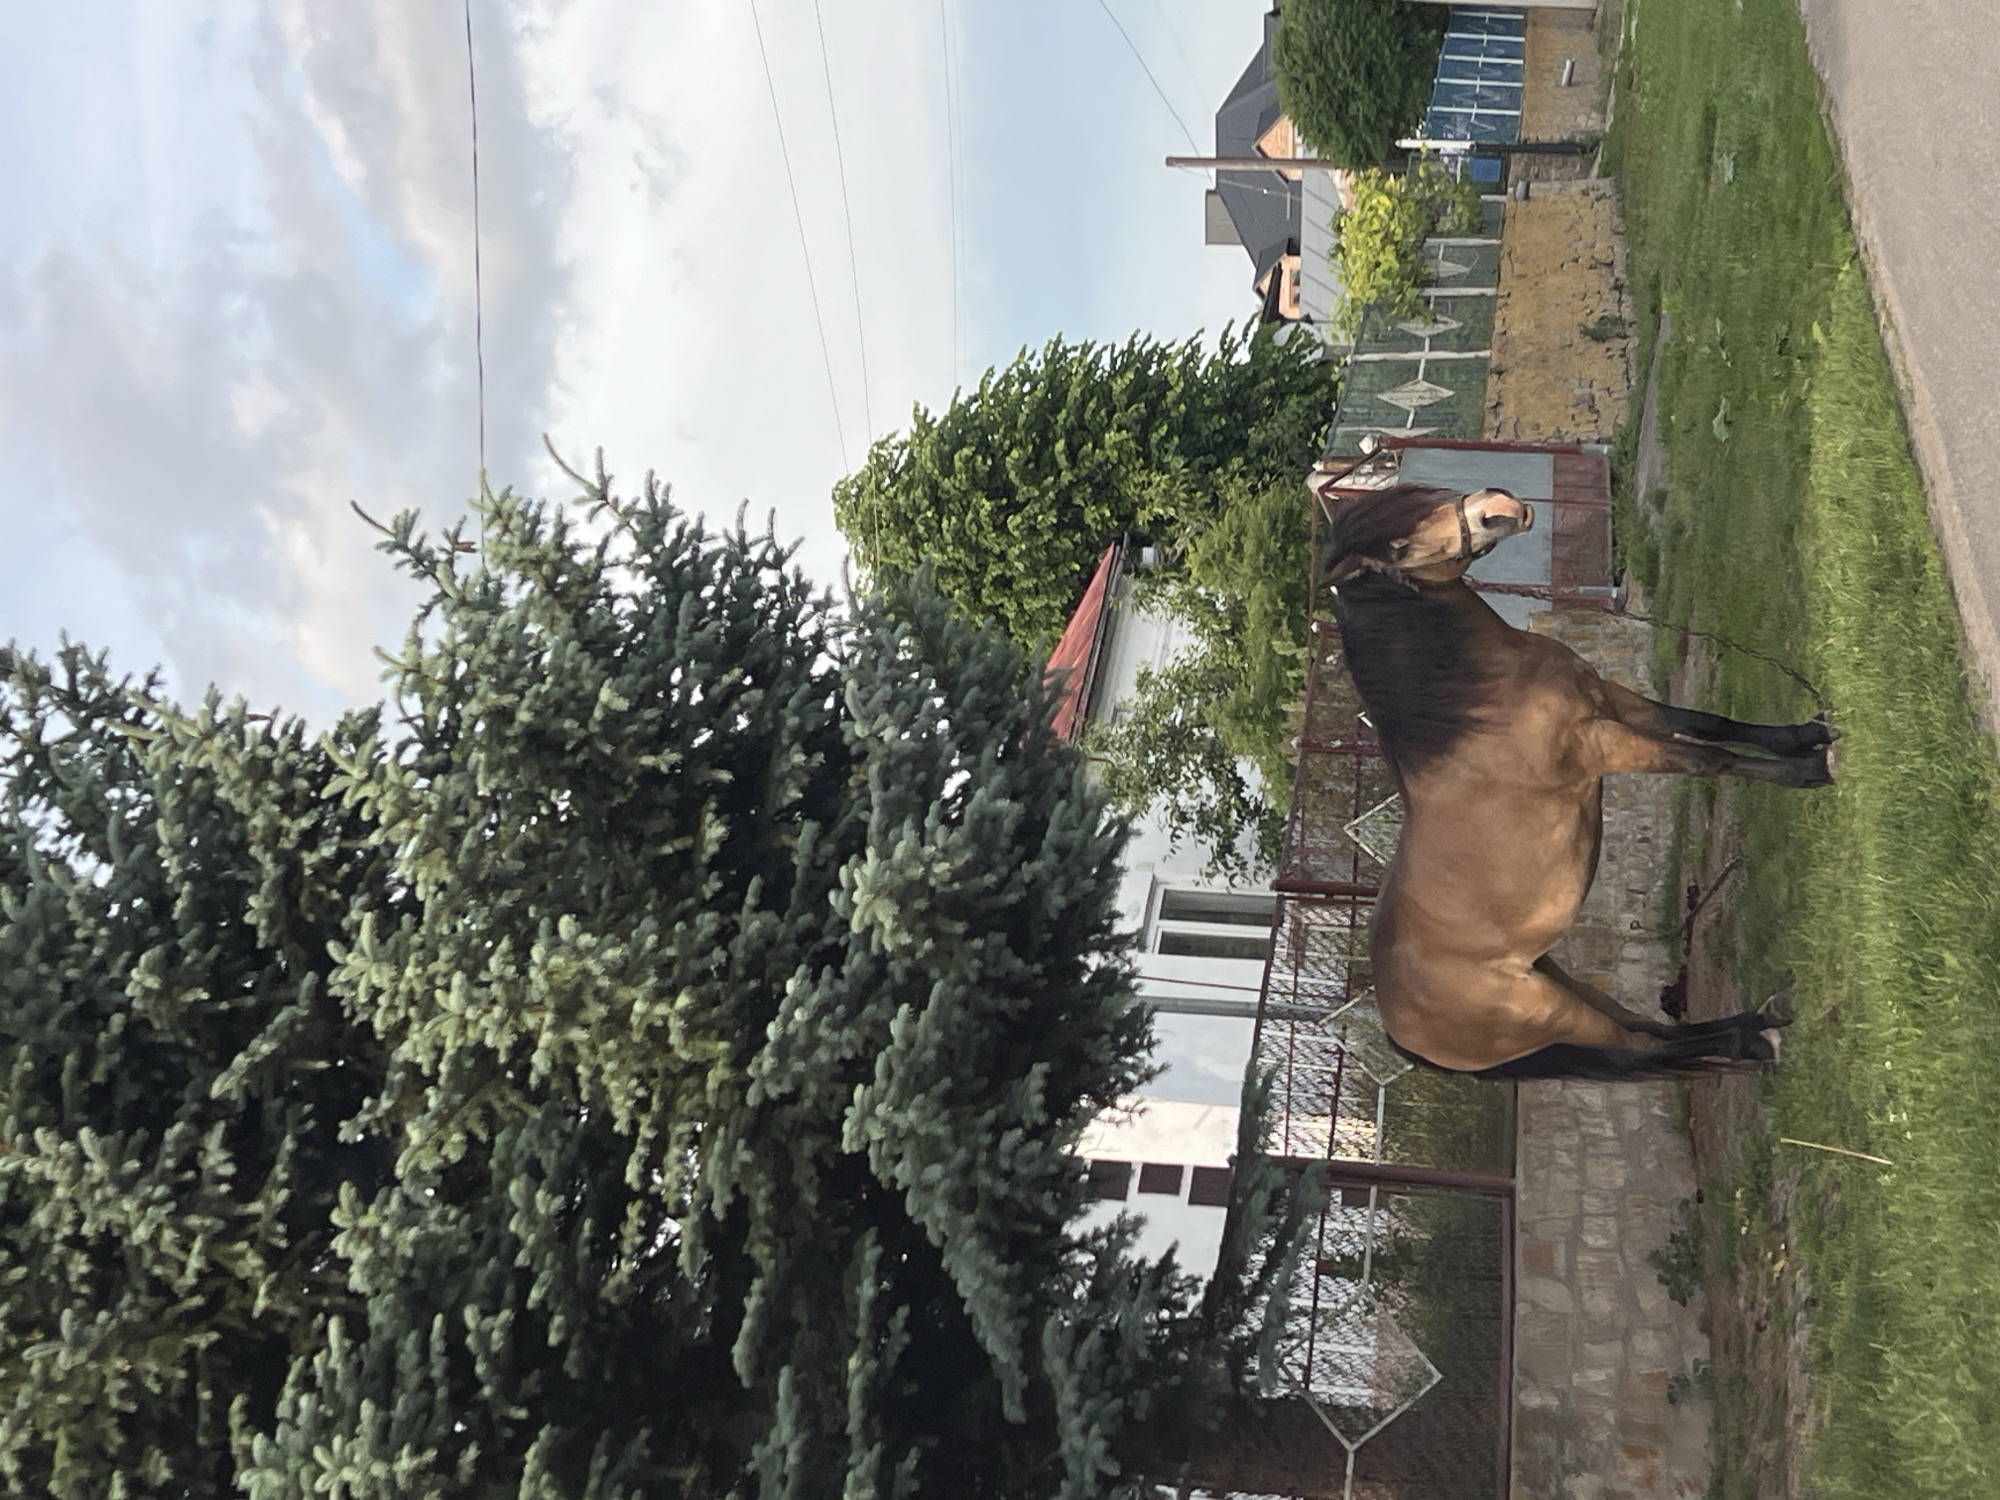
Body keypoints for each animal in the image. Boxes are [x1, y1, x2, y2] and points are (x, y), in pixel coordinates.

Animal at [1322, 482, 1834, 1079]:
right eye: (1399, 549)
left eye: (1418, 495)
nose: (1496, 509)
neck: (1479, 706)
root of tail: (1397, 1026)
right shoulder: (1604, 742)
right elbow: (1710, 760)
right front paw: (1809, 769)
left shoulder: (1614, 703)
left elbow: (1708, 724)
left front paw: (1808, 735)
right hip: (1552, 1013)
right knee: (1644, 1048)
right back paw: (1755, 1040)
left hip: (1565, 984)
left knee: (1649, 1030)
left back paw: (1761, 1022)